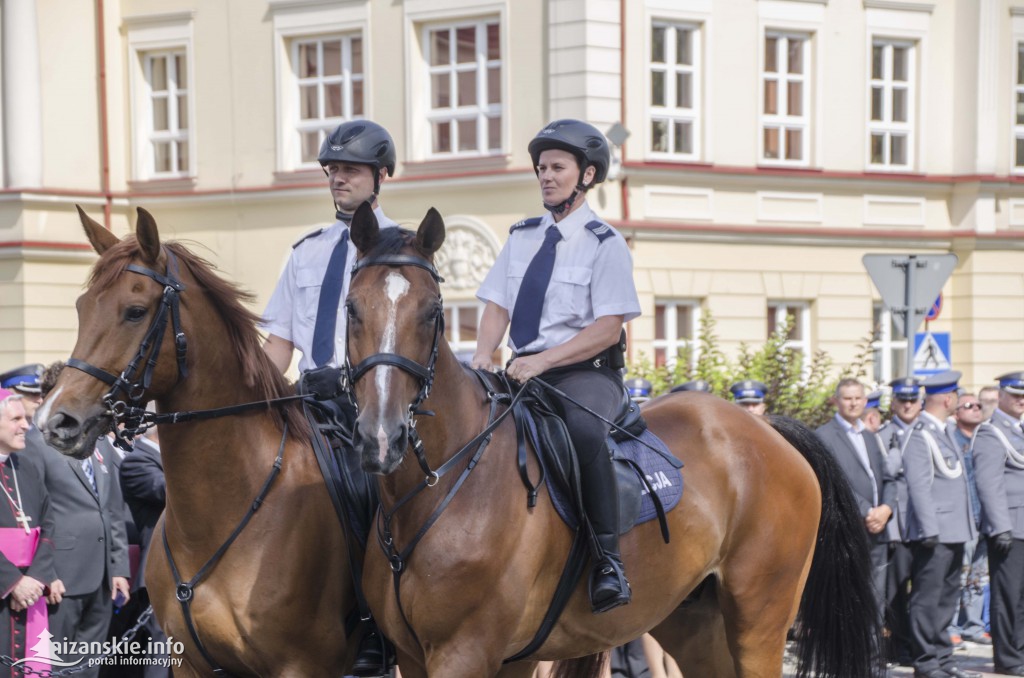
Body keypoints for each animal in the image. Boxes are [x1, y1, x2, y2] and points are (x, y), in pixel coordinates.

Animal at [344, 202, 880, 678]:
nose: (381, 436)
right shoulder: (442, 657)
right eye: (351, 309)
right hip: (694, 620)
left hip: (760, 619)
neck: (443, 485)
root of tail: (769, 431)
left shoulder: (466, 652)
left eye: (432, 311)